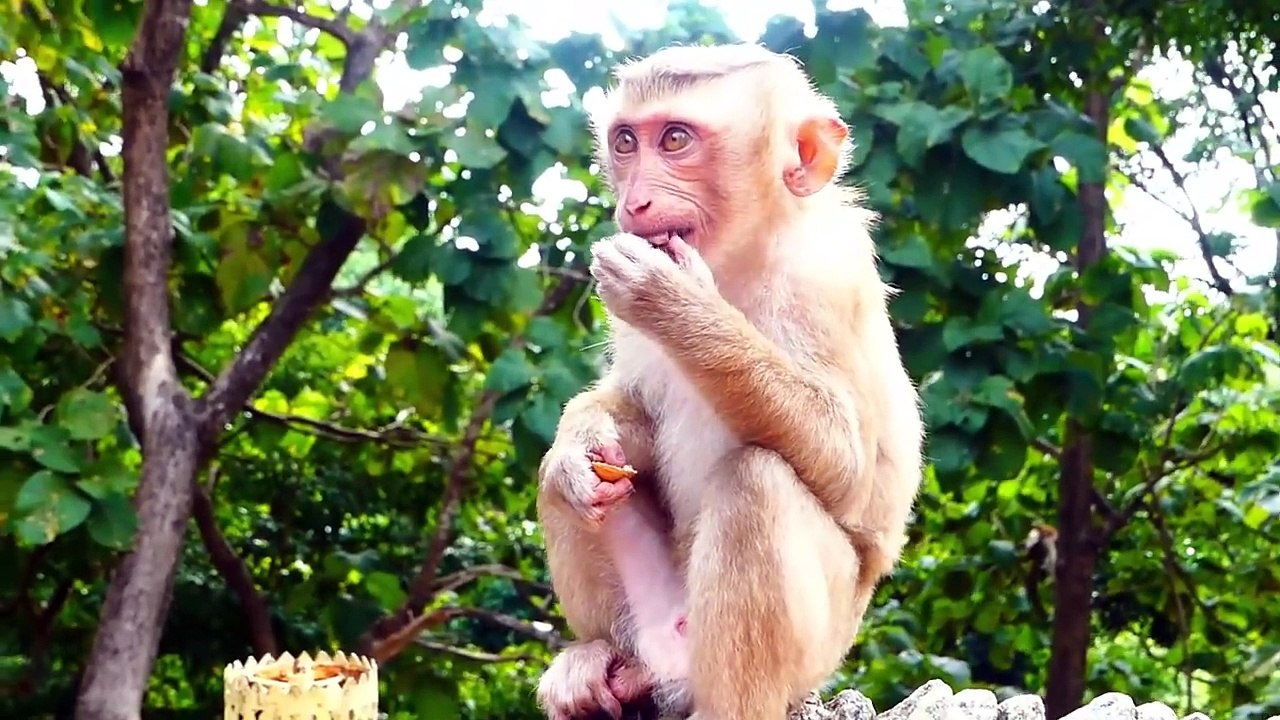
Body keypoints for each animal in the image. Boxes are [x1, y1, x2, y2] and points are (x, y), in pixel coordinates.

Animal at [535, 43, 925, 720]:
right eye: (626, 142)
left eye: (676, 138)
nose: (634, 202)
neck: (737, 261)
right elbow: (630, 413)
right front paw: (578, 445)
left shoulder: (822, 275)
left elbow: (846, 465)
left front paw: (673, 300)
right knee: (566, 490)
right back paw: (593, 661)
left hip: (819, 650)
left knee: (755, 483)